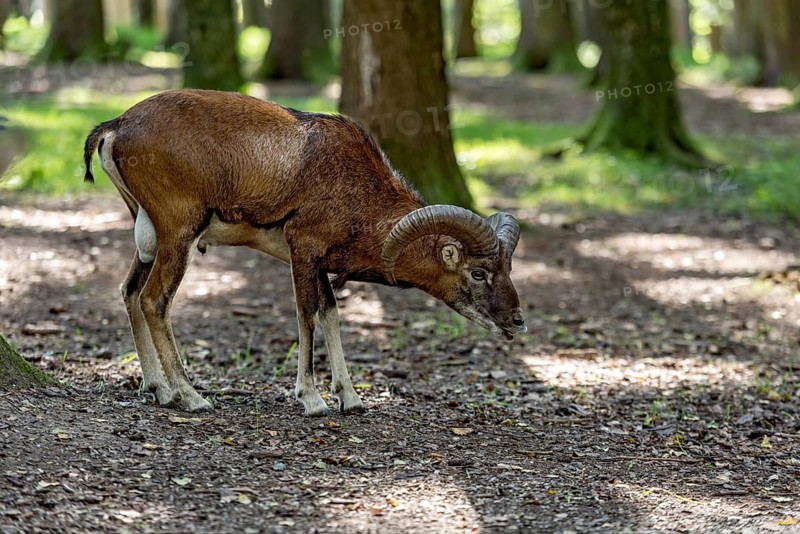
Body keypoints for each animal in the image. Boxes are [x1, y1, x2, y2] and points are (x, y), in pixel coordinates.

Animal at [83, 89, 526, 416]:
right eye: (478, 272)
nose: (517, 322)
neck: (354, 188)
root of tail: (116, 128)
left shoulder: (318, 264)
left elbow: (330, 314)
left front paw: (350, 398)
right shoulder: (304, 251)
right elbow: (307, 315)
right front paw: (313, 400)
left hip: (150, 237)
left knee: (129, 292)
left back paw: (157, 387)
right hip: (179, 235)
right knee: (154, 300)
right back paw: (190, 396)